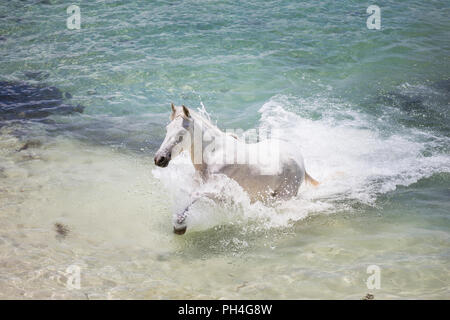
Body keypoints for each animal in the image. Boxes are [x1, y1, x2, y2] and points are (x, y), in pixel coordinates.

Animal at [156, 104, 320, 234]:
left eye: (181, 134)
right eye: (167, 129)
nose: (159, 159)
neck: (214, 153)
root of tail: (300, 159)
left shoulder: (218, 190)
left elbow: (193, 195)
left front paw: (179, 225)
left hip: (284, 196)